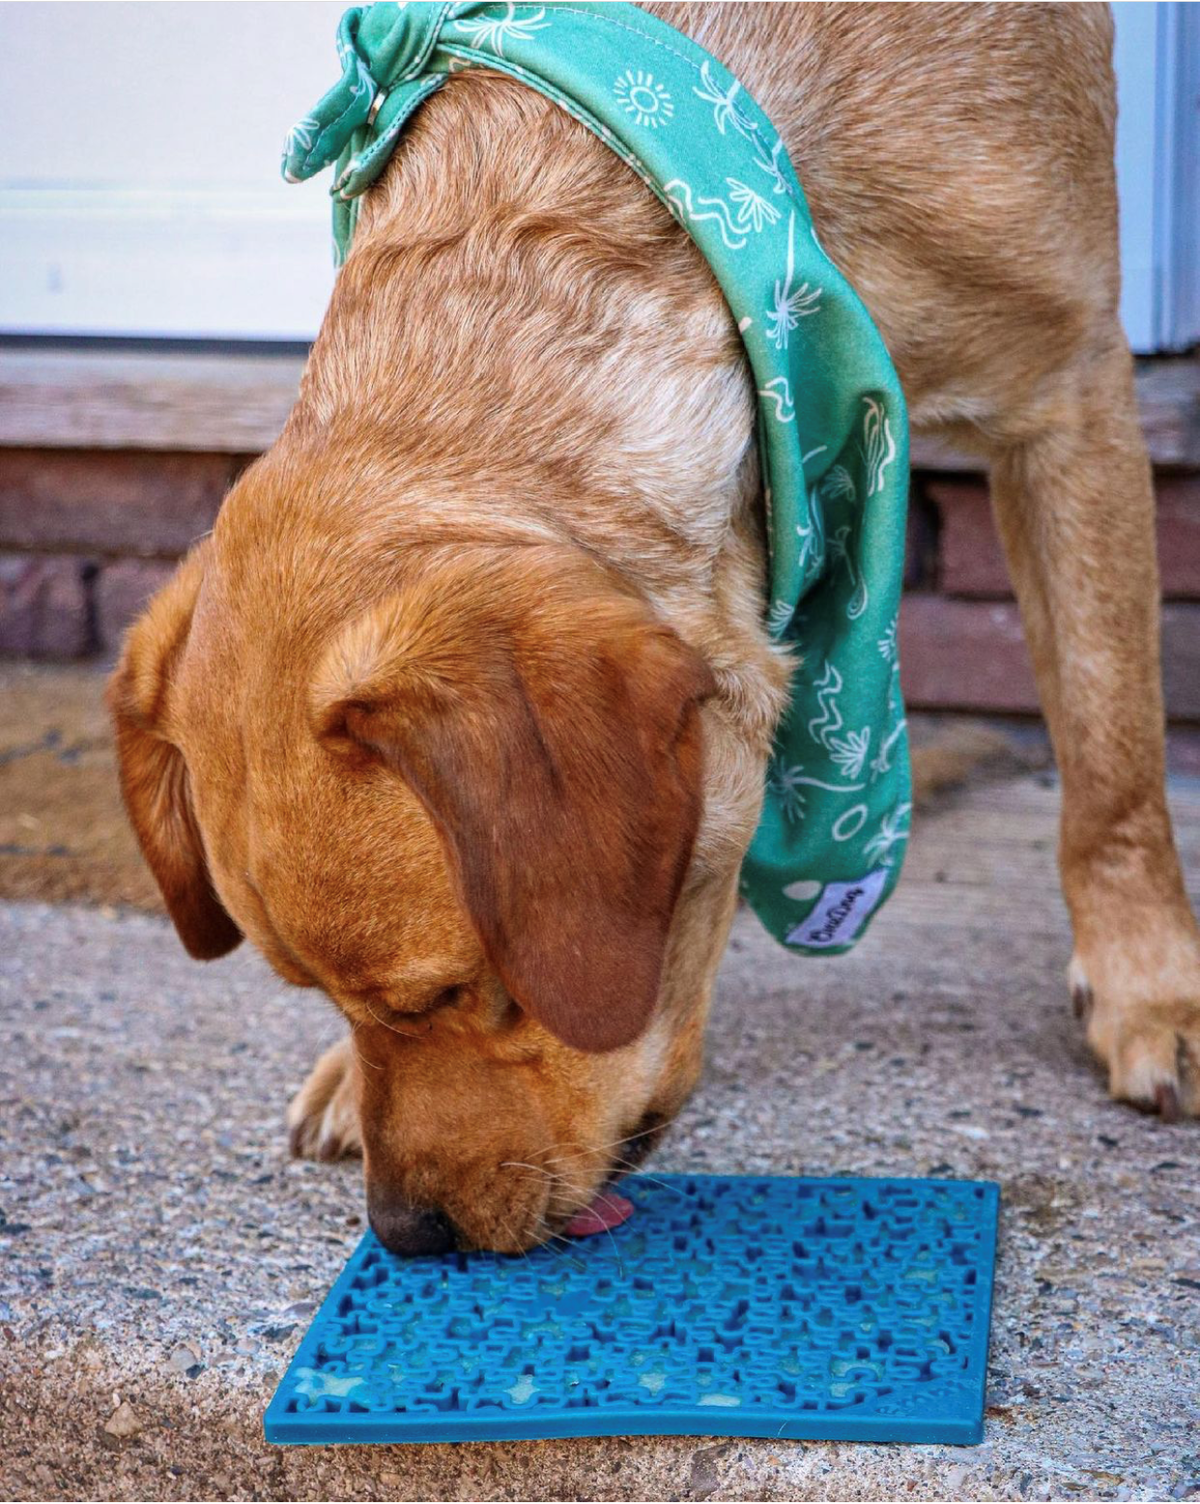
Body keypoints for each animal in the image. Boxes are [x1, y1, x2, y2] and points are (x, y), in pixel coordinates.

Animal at [108, 2, 1196, 1257]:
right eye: (327, 998)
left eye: (445, 993)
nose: (407, 1232)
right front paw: (341, 1073)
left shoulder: (1070, 387)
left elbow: (1113, 751)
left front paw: (1153, 987)